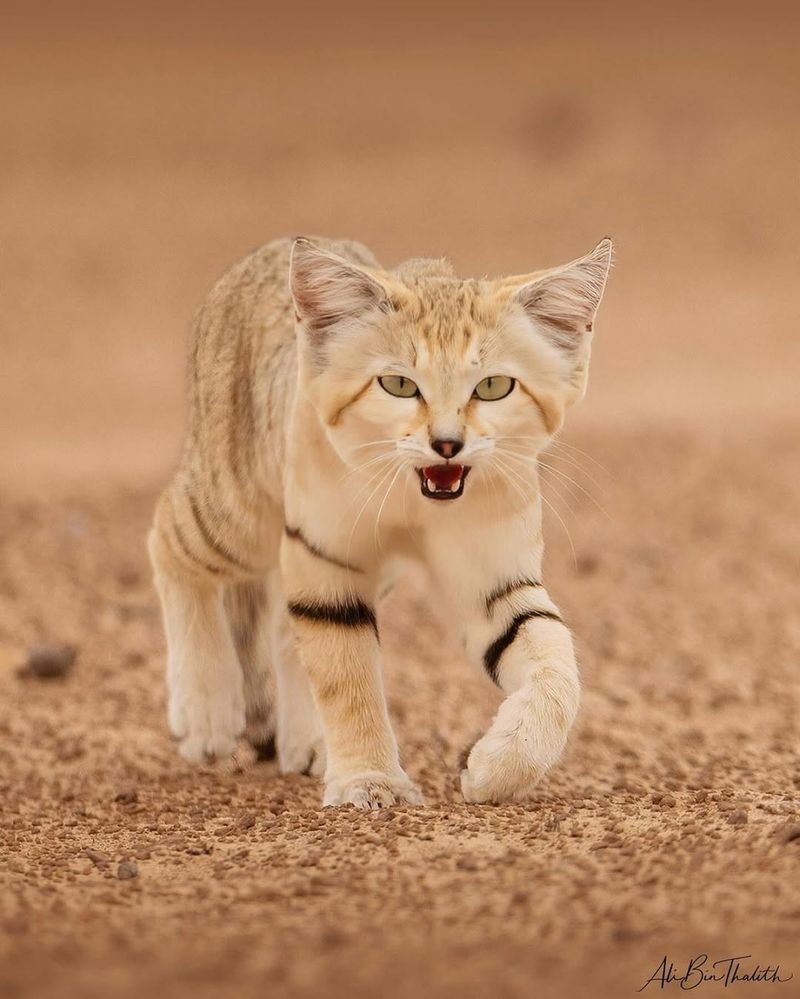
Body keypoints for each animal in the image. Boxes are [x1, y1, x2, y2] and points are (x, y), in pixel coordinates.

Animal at [150, 236, 612, 812]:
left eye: (493, 386)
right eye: (398, 384)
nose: (446, 444)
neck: (417, 502)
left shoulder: (494, 582)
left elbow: (554, 663)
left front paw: (500, 765)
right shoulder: (328, 557)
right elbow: (347, 677)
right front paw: (369, 780)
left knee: (282, 621)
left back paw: (306, 741)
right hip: (238, 511)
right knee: (168, 534)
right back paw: (206, 711)